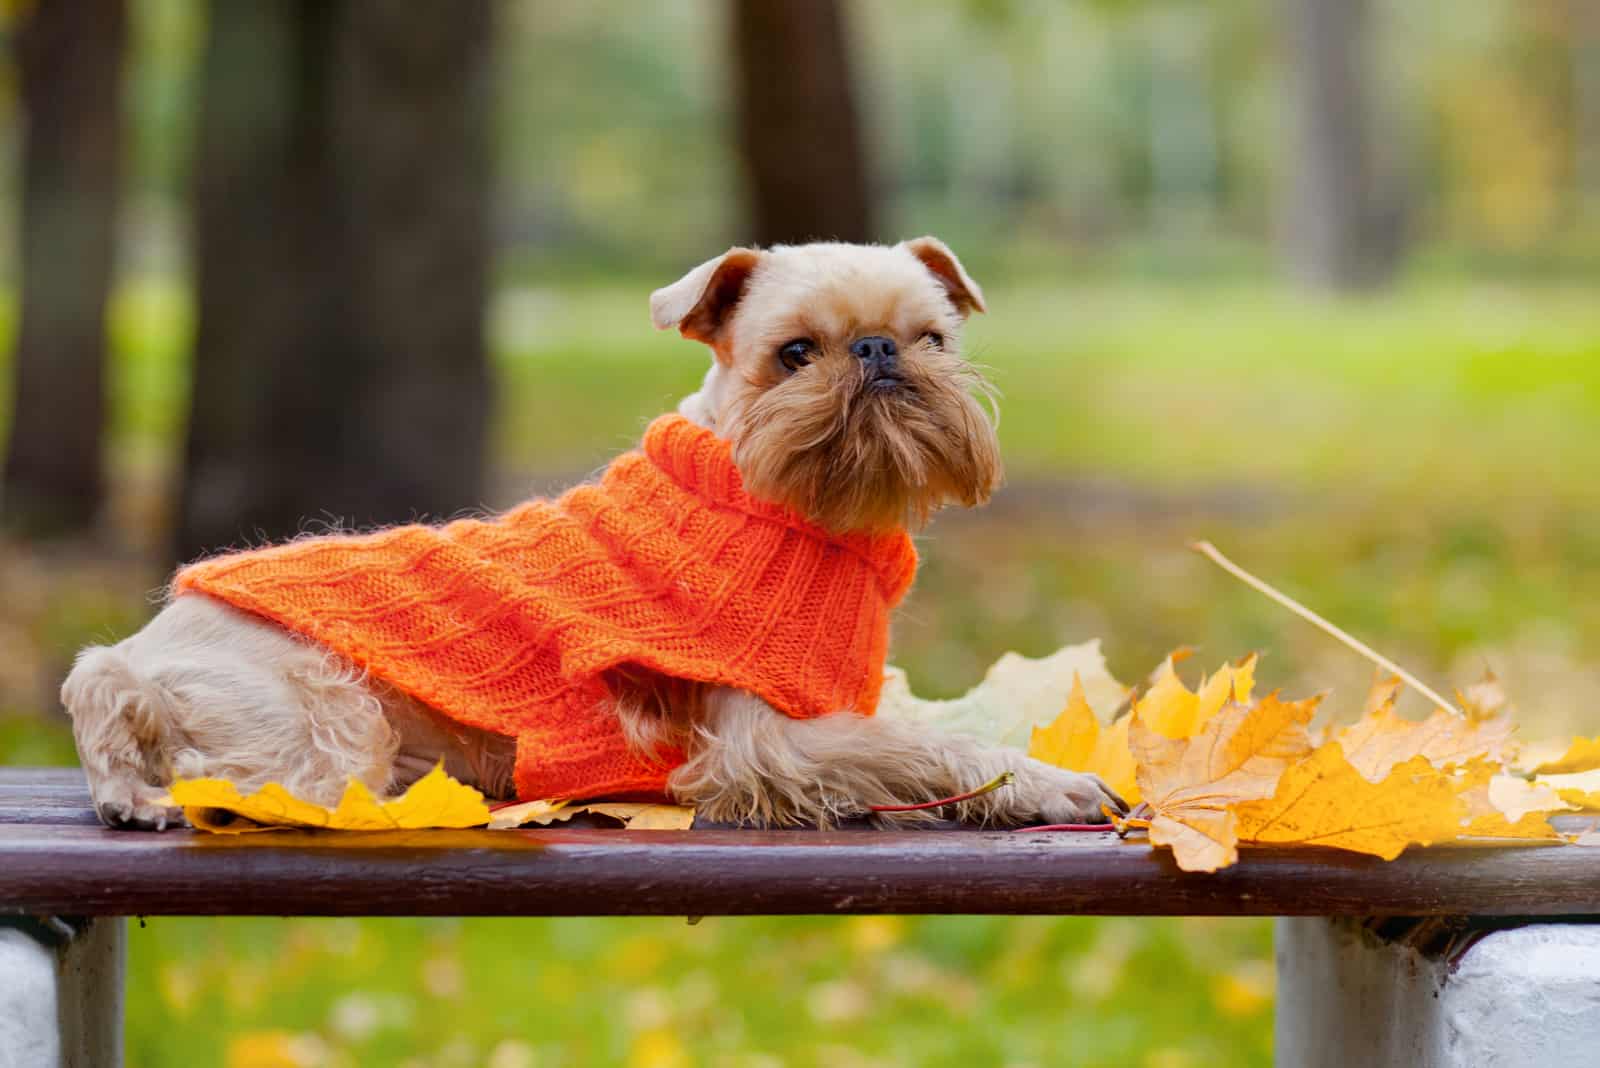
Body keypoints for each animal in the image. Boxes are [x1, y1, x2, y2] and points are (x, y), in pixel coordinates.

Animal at [56, 238, 1120, 831]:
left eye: (933, 339)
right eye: (795, 354)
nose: (878, 351)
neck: (784, 508)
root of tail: (129, 659)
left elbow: (933, 726)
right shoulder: (768, 743)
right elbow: (921, 746)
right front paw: (1051, 784)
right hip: (326, 724)